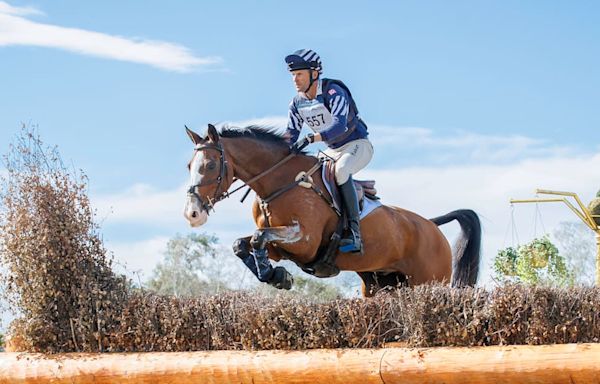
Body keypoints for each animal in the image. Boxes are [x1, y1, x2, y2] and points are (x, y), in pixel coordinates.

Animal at [184, 124, 482, 296]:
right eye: (189, 165)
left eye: (210, 165)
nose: (192, 213)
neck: (279, 183)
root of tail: (431, 225)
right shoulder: (281, 247)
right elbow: (243, 244)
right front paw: (277, 276)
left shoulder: (304, 241)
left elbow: (258, 237)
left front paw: (278, 277)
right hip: (383, 284)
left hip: (429, 282)